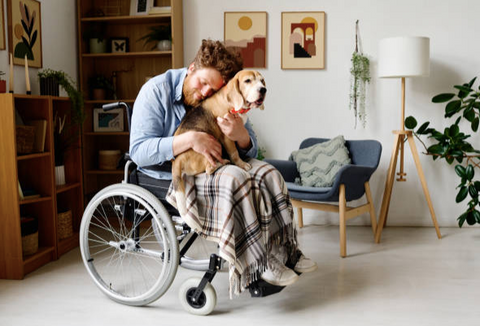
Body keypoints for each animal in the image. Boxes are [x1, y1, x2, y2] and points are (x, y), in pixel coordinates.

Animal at [172, 69, 266, 216]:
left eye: (262, 81)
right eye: (248, 81)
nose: (263, 90)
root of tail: (178, 160)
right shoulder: (226, 136)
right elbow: (234, 153)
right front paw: (242, 164)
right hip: (208, 151)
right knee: (209, 169)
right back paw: (222, 162)